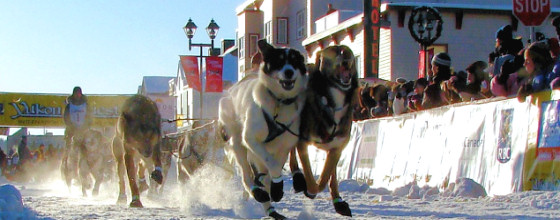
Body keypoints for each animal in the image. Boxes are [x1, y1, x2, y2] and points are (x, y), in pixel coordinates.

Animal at [219, 39, 306, 220]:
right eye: (278, 61)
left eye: (295, 61)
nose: (289, 72)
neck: (279, 102)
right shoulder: (251, 139)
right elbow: (272, 164)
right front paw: (276, 187)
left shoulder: (285, 146)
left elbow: (274, 166)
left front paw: (275, 188)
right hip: (238, 143)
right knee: (246, 176)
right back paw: (257, 192)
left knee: (261, 177)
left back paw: (270, 209)